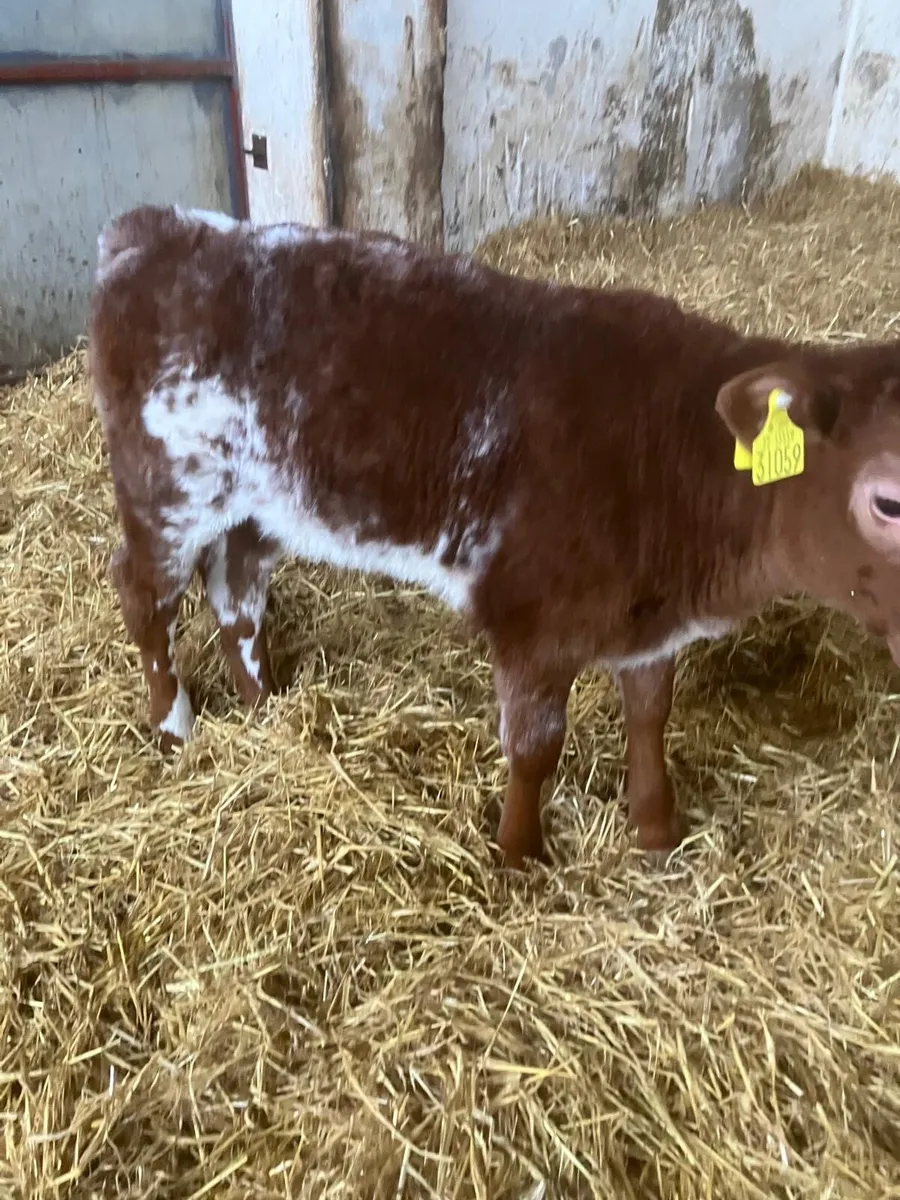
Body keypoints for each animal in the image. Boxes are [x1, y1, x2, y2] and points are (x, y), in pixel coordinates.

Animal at [87, 203, 900, 870]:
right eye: (888, 500)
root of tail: (154, 228)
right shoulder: (529, 619)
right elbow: (535, 747)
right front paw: (518, 855)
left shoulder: (647, 625)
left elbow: (649, 716)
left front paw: (656, 831)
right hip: (165, 489)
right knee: (144, 595)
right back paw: (175, 727)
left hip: (257, 504)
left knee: (237, 587)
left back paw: (262, 705)